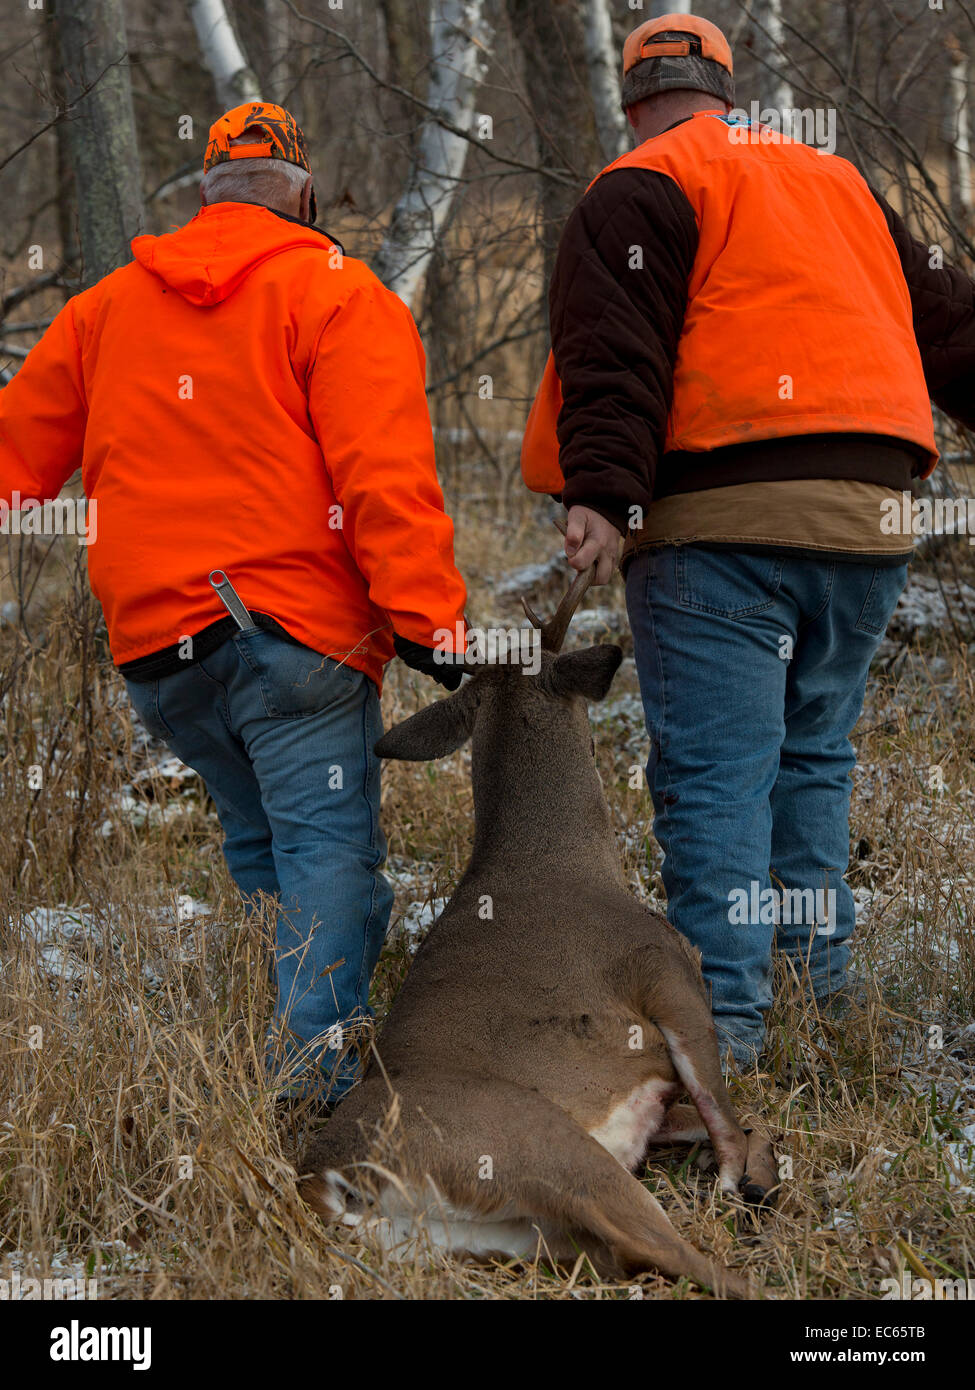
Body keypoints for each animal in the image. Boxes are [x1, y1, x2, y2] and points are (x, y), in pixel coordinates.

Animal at [299, 551, 779, 1298]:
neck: (554, 854)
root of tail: (328, 1177)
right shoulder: (664, 972)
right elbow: (724, 1108)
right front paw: (739, 1178)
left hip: (497, 1233)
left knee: (612, 1253)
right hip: (538, 1143)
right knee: (669, 1250)